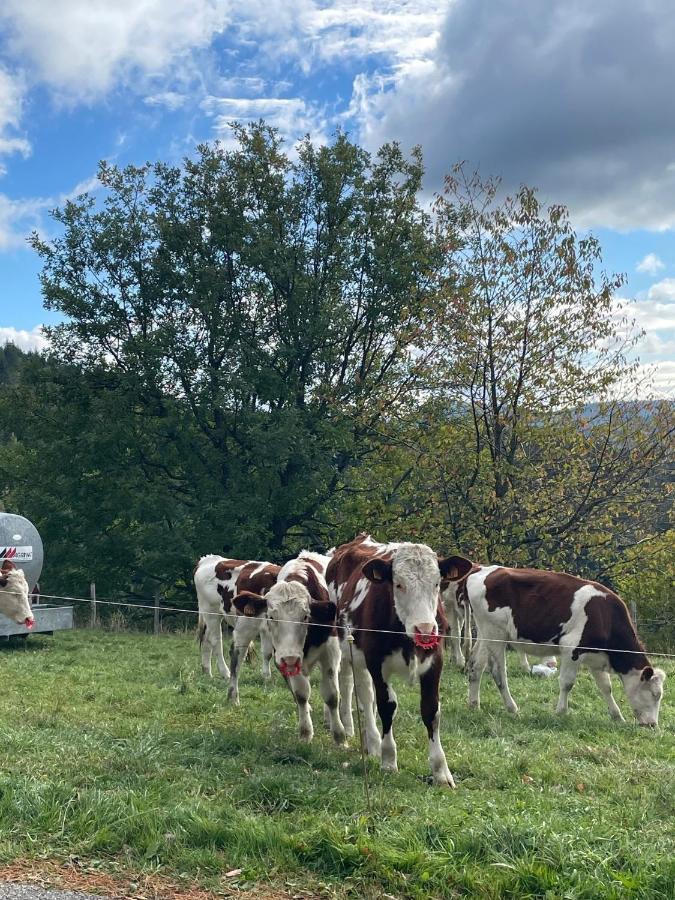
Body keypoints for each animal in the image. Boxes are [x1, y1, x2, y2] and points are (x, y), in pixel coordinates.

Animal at [194, 556, 282, 684]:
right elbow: (268, 652)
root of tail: (206, 559)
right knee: (215, 641)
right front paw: (266, 677)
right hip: (211, 611)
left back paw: (207, 673)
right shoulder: (266, 625)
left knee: (206, 638)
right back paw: (225, 673)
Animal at [230, 548, 346, 744]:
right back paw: (233, 696)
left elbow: (331, 695)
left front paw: (339, 736)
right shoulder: (287, 656)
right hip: (246, 625)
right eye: (271, 616)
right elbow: (301, 693)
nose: (290, 658)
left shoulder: (330, 651)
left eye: (306, 616)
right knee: (237, 656)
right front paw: (305, 733)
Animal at [324, 536, 472, 788]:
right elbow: (386, 705)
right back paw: (370, 739)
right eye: (399, 584)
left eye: (436, 584)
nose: (425, 629)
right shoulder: (376, 663)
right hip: (350, 651)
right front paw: (388, 760)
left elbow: (431, 710)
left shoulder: (435, 662)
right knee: (359, 690)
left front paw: (441, 772)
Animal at [462, 564, 668, 724]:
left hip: (485, 632)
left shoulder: (596, 657)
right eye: (654, 694)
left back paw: (474, 704)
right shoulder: (572, 649)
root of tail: (482, 569)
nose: (653, 725)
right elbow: (567, 683)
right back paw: (512, 707)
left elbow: (605, 687)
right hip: (495, 633)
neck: (605, 616)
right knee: (498, 672)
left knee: (475, 666)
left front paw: (617, 716)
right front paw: (561, 711)